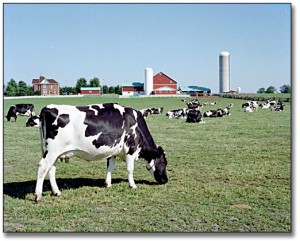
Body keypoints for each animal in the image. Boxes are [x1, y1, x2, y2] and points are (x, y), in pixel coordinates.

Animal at [34, 103, 169, 201]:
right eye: (164, 162)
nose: (166, 180)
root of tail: (48, 107)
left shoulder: (113, 150)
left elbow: (110, 167)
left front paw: (107, 183)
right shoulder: (131, 149)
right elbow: (130, 169)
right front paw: (133, 185)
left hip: (55, 153)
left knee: (51, 169)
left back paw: (56, 192)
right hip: (52, 151)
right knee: (43, 167)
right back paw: (38, 195)